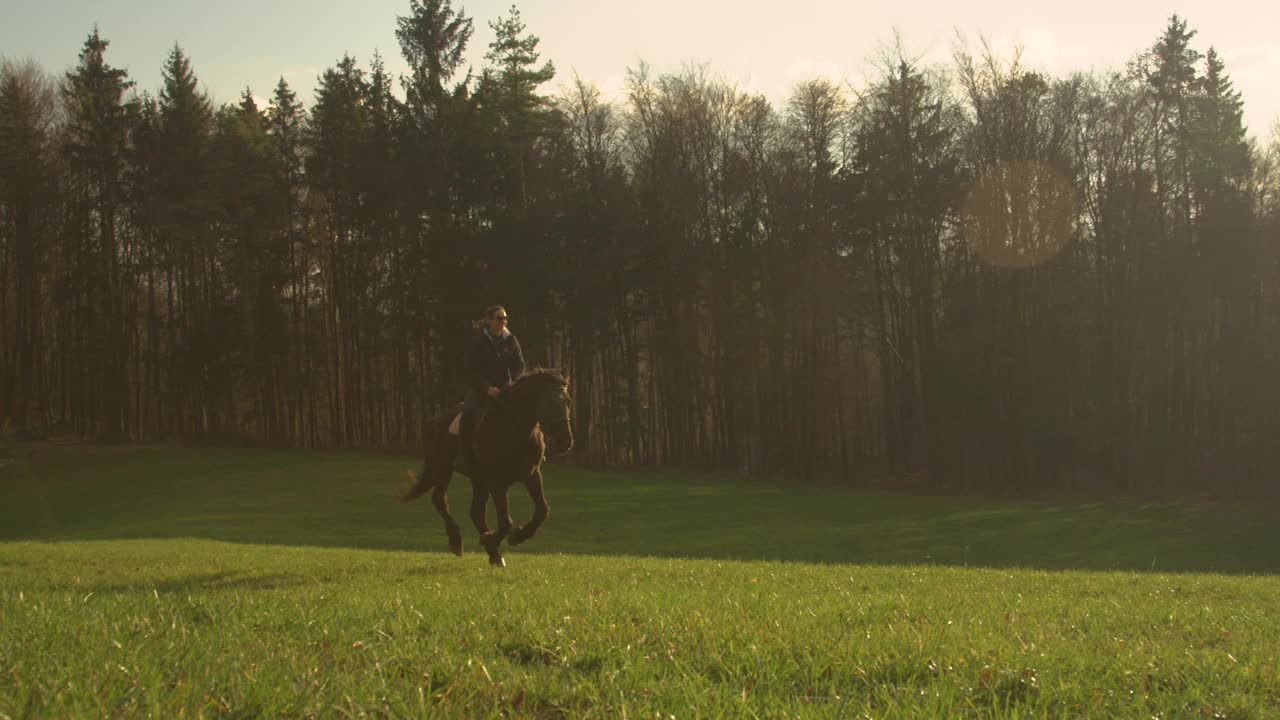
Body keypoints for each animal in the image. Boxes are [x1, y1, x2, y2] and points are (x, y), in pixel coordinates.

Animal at [399, 368, 576, 566]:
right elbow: (506, 521)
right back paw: (457, 541)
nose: (565, 442)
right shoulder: (497, 482)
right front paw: (494, 538)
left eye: (568, 401)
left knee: (476, 512)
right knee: (439, 500)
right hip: (443, 470)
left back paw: (494, 553)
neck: (513, 429)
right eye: (549, 402)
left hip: (478, 480)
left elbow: (542, 510)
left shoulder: (532, 475)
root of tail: (433, 421)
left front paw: (516, 536)